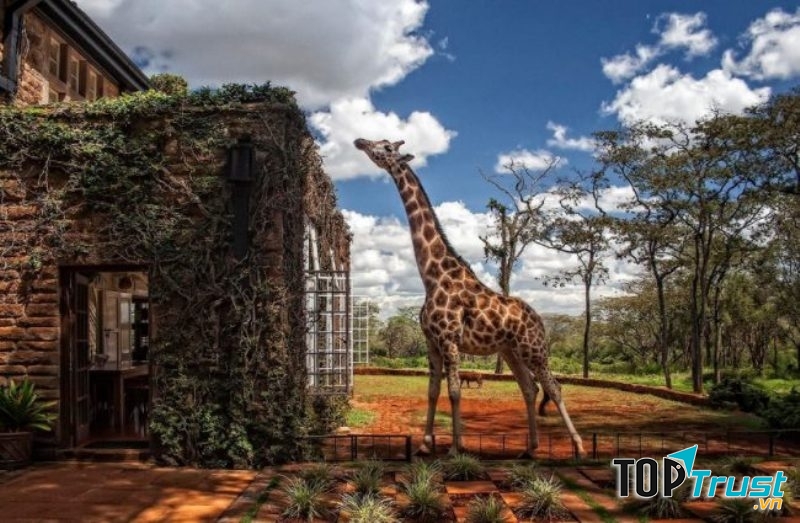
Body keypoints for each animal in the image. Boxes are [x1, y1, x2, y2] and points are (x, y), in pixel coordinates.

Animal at [354, 138, 585, 458]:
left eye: (387, 147)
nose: (359, 141)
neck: (432, 277)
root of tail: (539, 320)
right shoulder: (432, 342)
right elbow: (433, 391)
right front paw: (425, 445)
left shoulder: (450, 339)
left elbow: (453, 392)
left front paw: (455, 448)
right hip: (510, 350)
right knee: (529, 388)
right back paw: (530, 448)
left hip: (534, 348)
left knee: (554, 387)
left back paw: (578, 446)